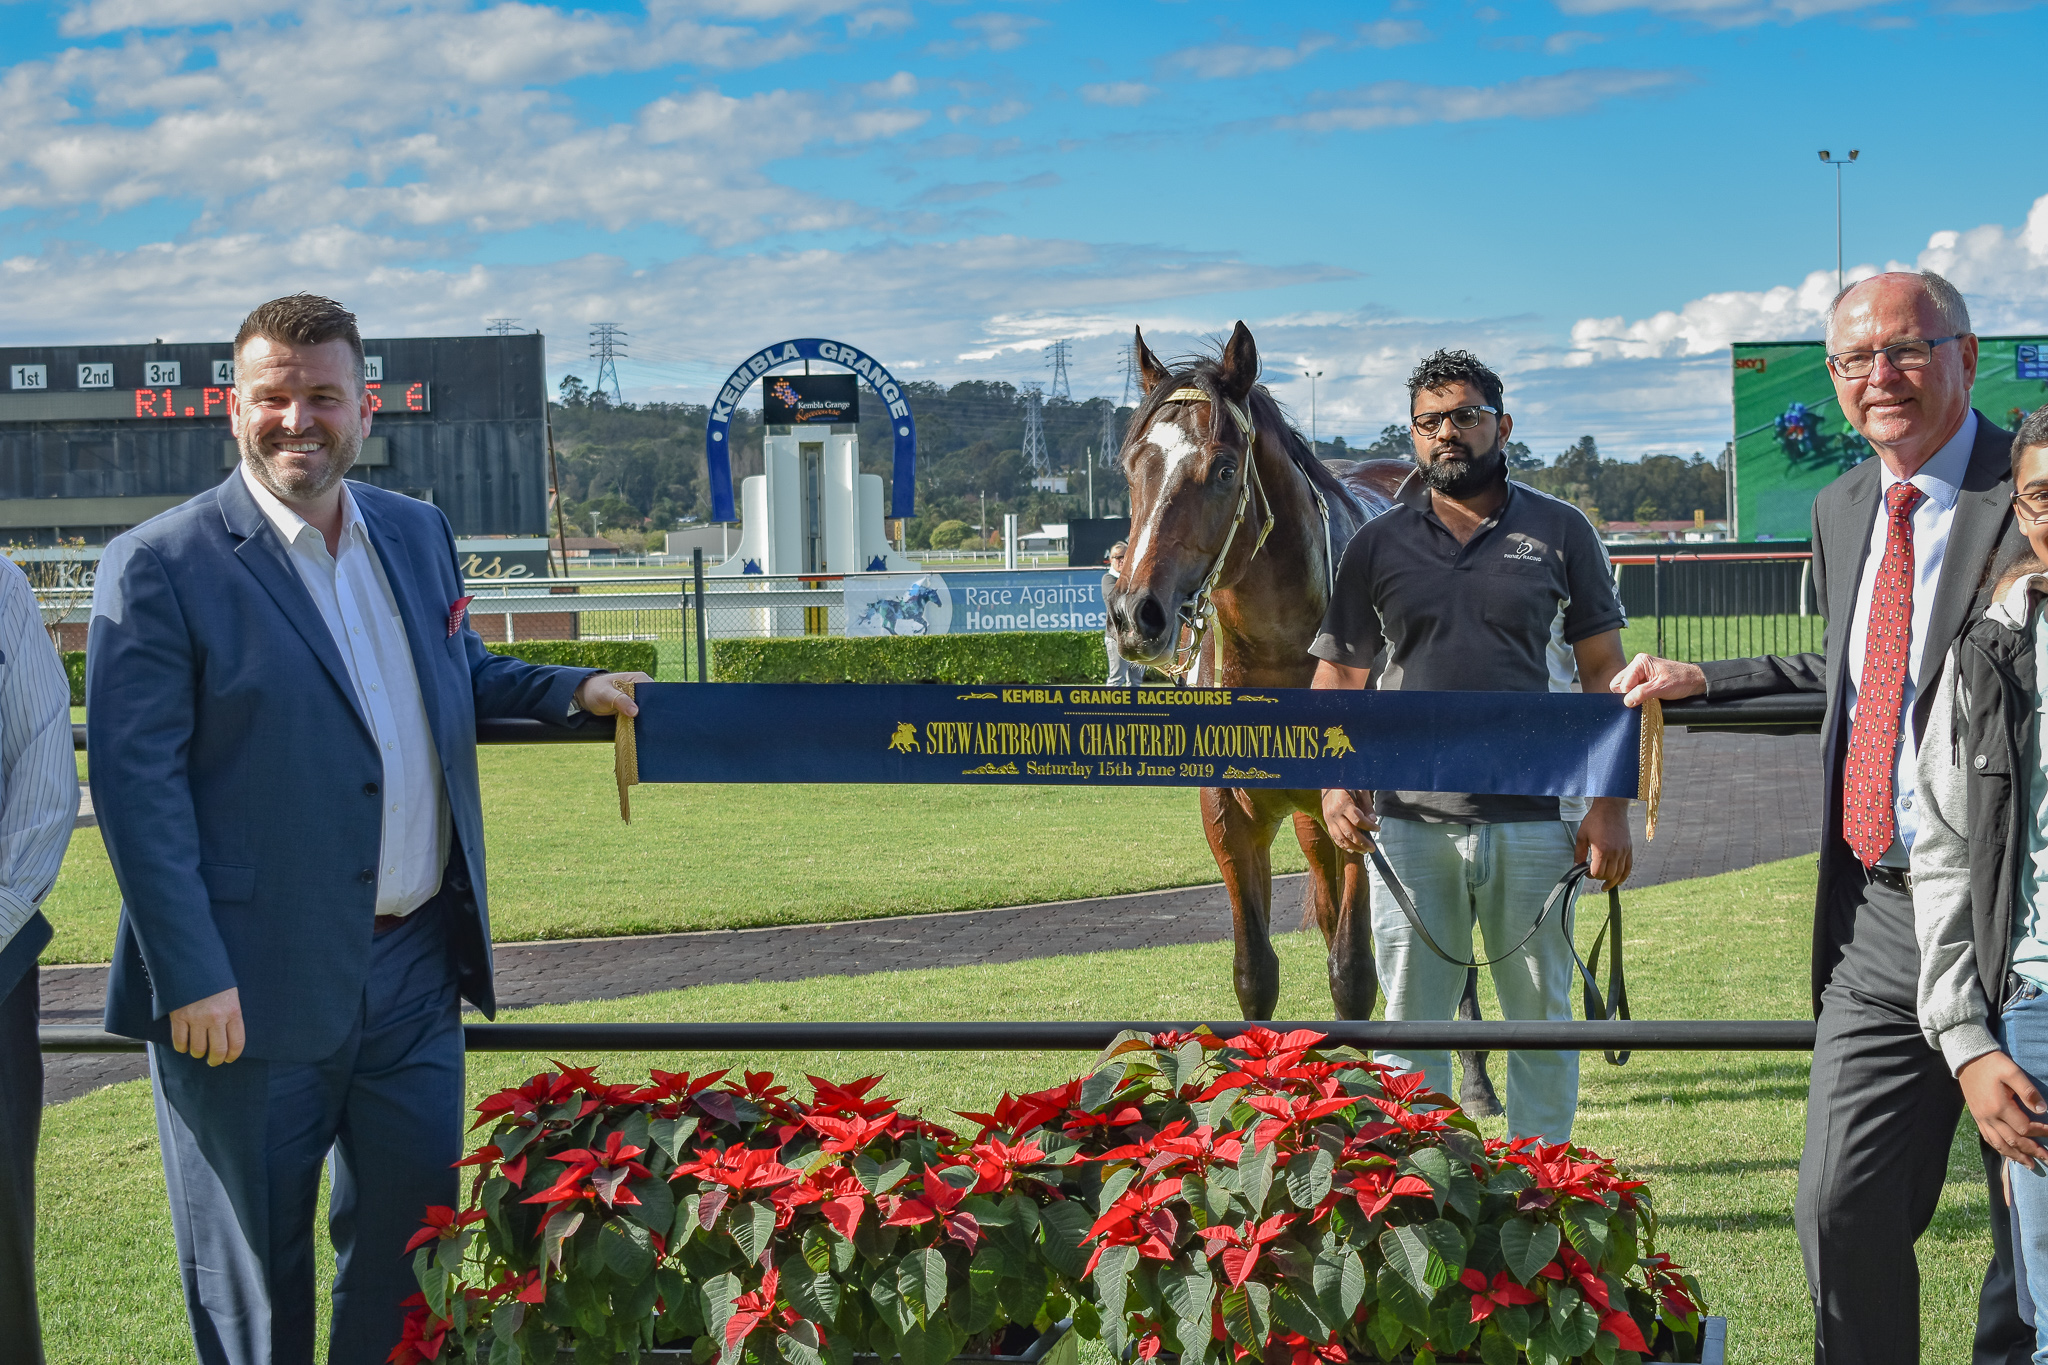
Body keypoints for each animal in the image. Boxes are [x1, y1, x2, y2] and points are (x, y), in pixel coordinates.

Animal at [1105, 327, 1507, 1113]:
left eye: (1222, 467)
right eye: (1133, 465)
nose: (1138, 614)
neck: (1285, 650)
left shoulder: (1362, 813)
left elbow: (1352, 973)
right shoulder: (1231, 815)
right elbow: (1254, 973)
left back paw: (1474, 1078)